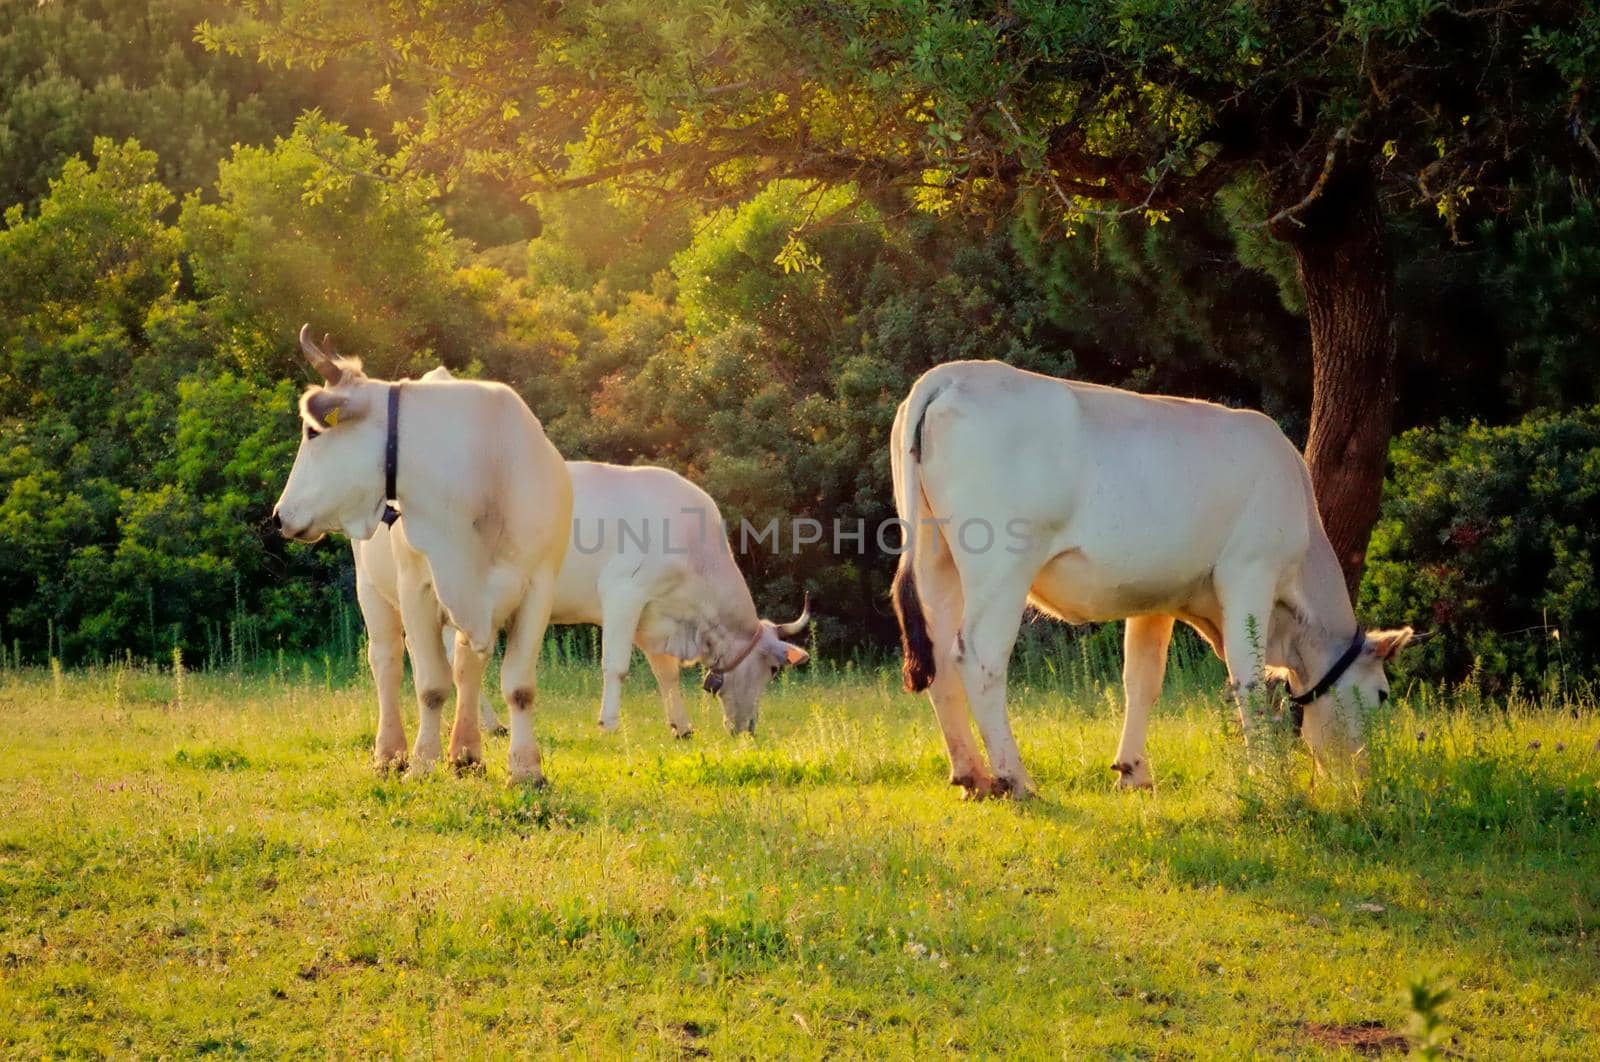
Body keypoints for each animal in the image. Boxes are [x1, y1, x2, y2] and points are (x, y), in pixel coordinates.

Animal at [353, 431, 812, 738]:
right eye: (773, 668)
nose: (748, 728)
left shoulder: (652, 614)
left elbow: (664, 672)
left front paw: (681, 726)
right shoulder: (625, 594)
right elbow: (616, 665)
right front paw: (608, 723)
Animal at [889, 361, 1414, 799]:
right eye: (1382, 695)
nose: (1366, 780)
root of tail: (954, 372)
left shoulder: (1157, 598)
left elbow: (1142, 679)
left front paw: (1133, 772)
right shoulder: (1251, 570)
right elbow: (1247, 678)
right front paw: (1266, 776)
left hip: (938, 559)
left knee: (938, 656)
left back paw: (972, 776)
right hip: (1001, 565)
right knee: (978, 658)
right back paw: (1014, 779)